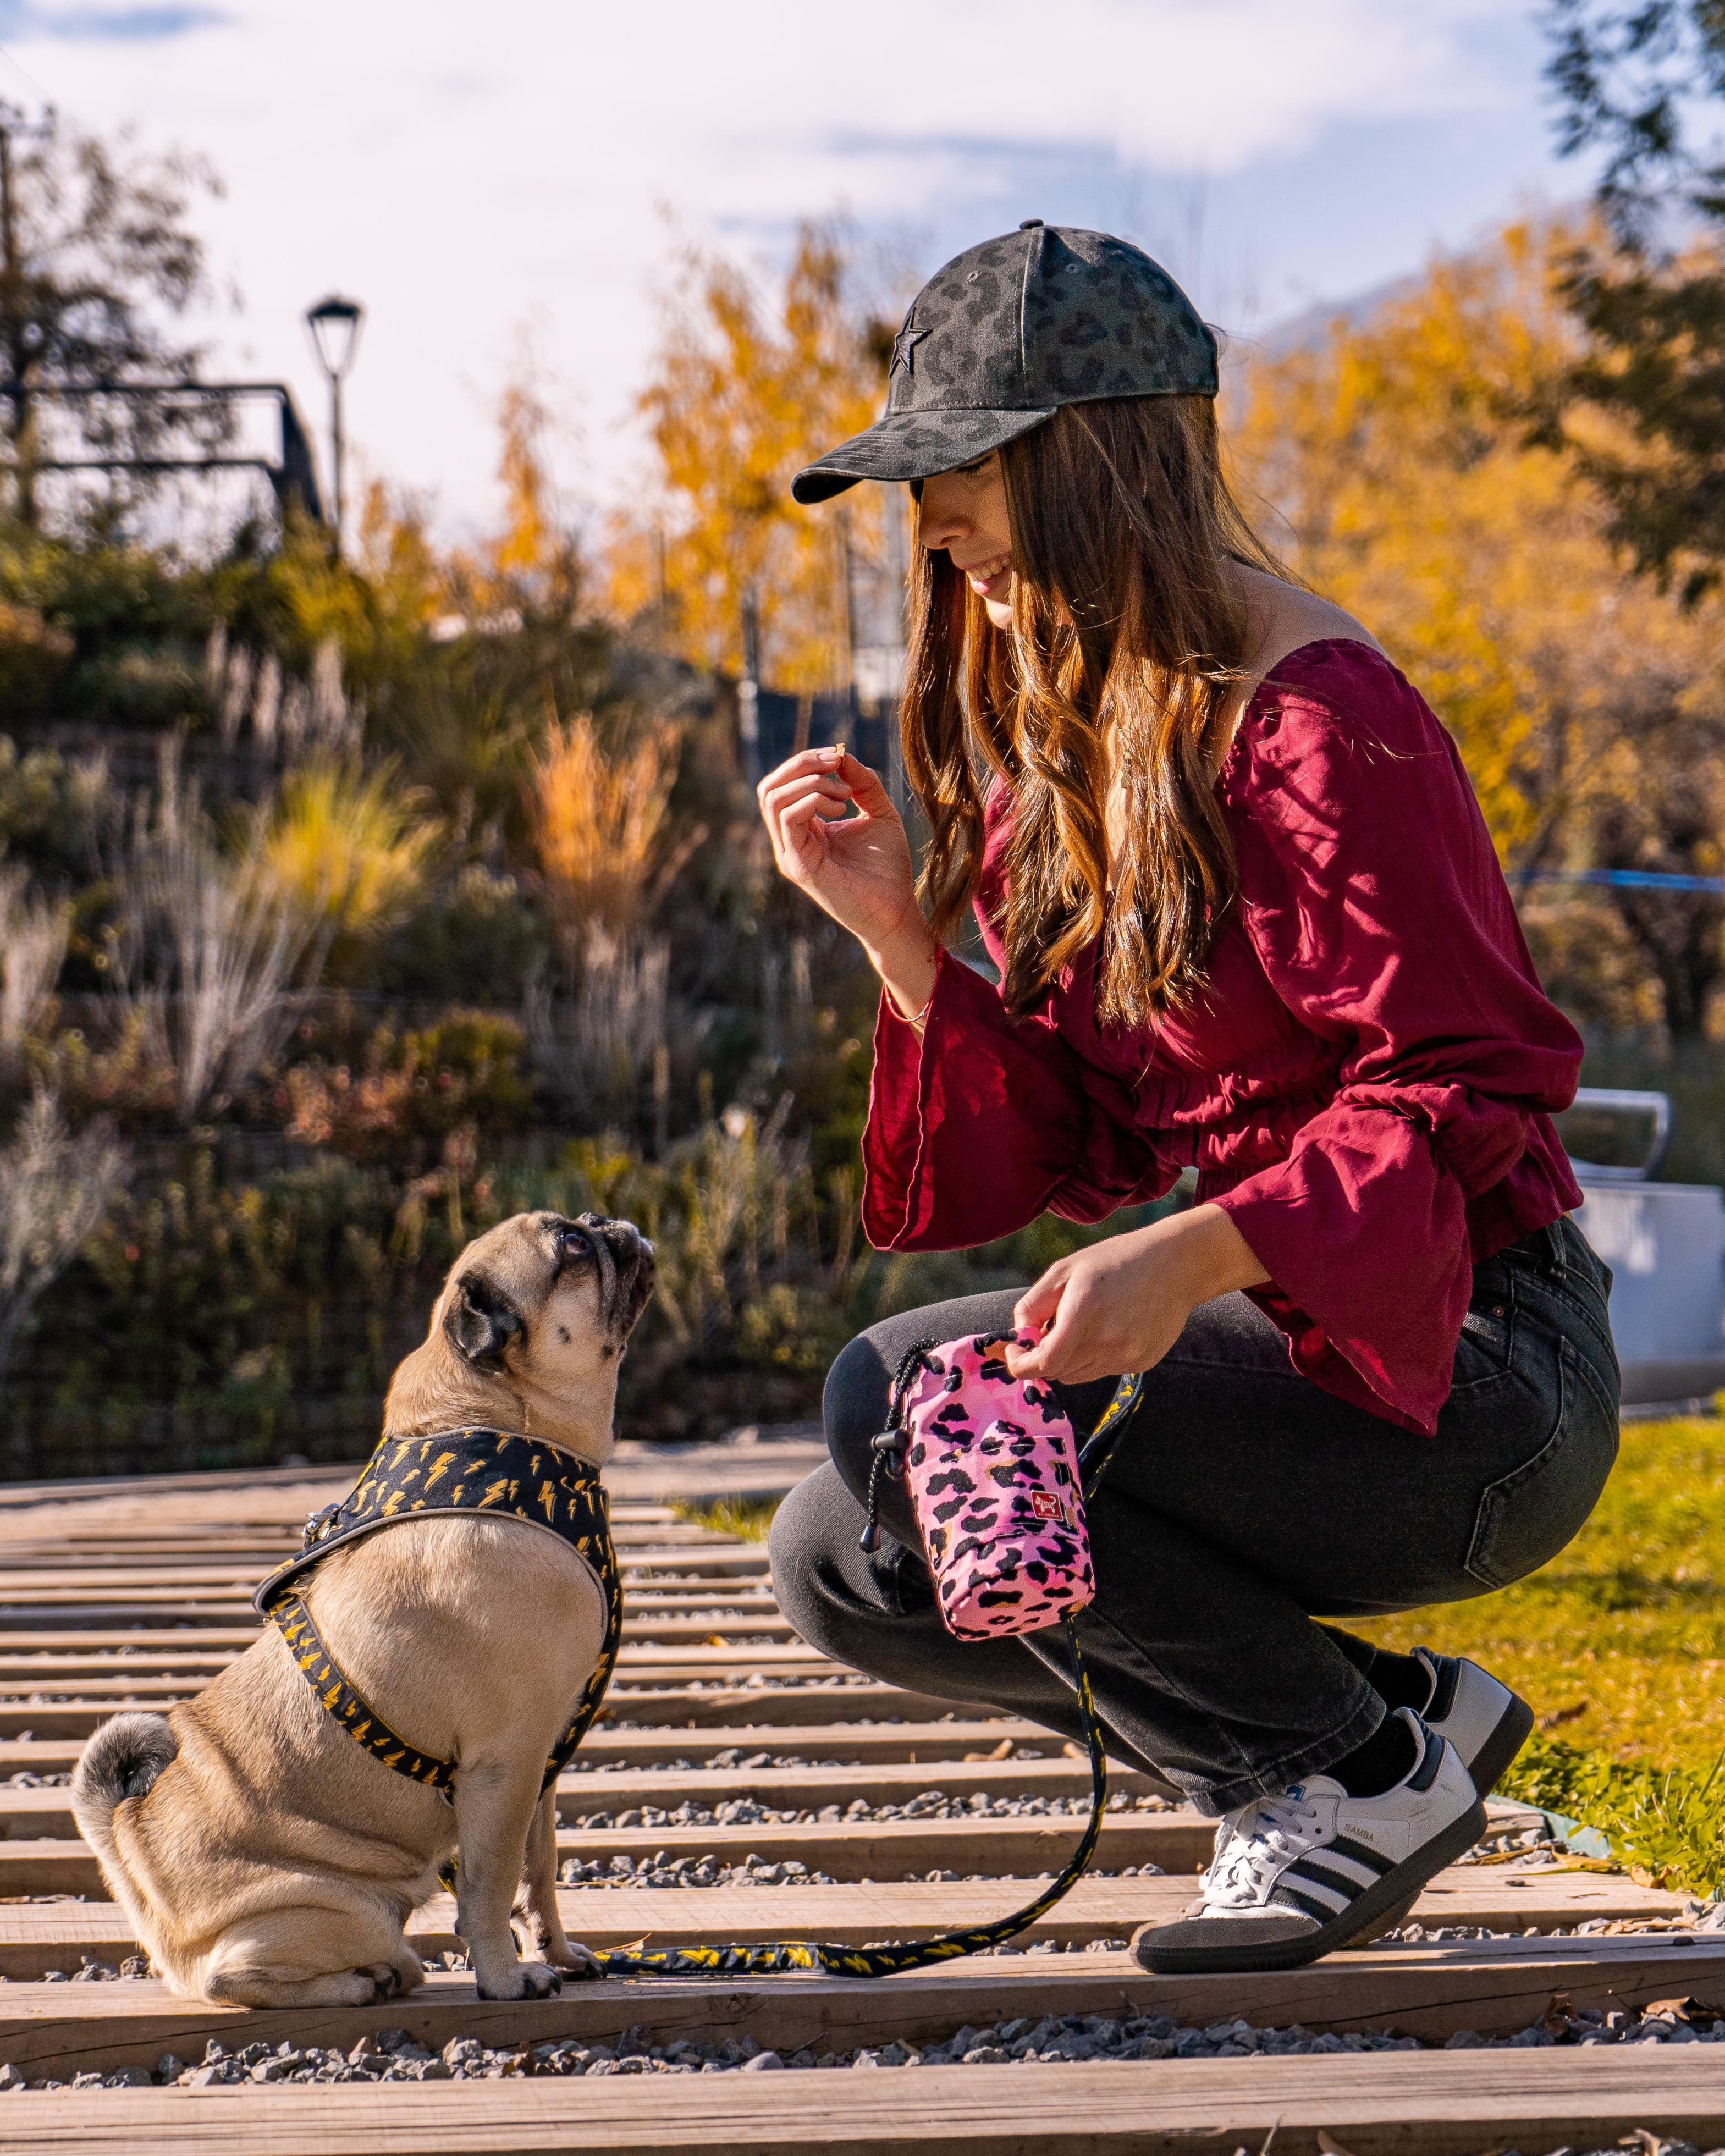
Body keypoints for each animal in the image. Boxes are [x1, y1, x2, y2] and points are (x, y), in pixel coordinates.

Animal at [67, 1207, 655, 2009]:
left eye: (583, 1227)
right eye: (570, 1246)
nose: (606, 1221)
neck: (505, 1436)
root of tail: (131, 1850)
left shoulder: (543, 1766)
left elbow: (540, 1873)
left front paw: (560, 1954)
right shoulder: (505, 1763)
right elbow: (491, 1887)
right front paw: (506, 1979)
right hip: (343, 1911)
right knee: (231, 1977)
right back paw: (362, 1983)